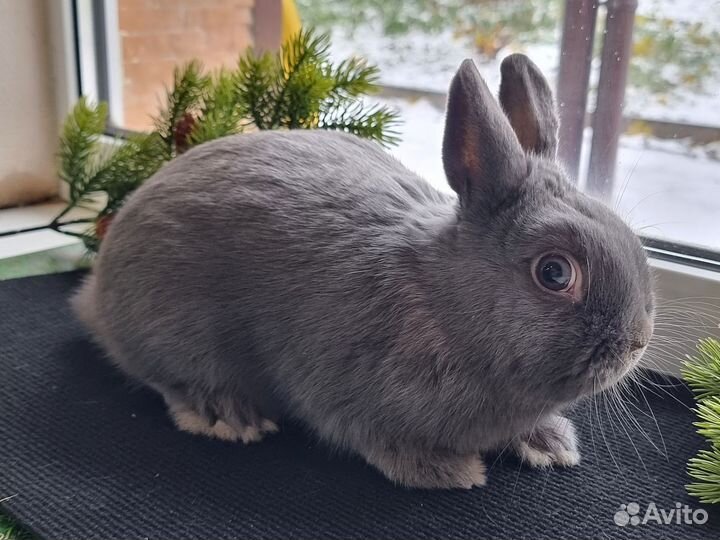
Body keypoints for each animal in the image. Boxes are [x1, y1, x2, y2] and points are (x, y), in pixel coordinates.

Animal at [72, 54, 654, 489]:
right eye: (555, 273)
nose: (637, 343)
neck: (446, 306)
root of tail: (95, 296)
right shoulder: (347, 392)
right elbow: (376, 438)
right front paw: (448, 471)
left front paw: (550, 445)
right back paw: (227, 414)